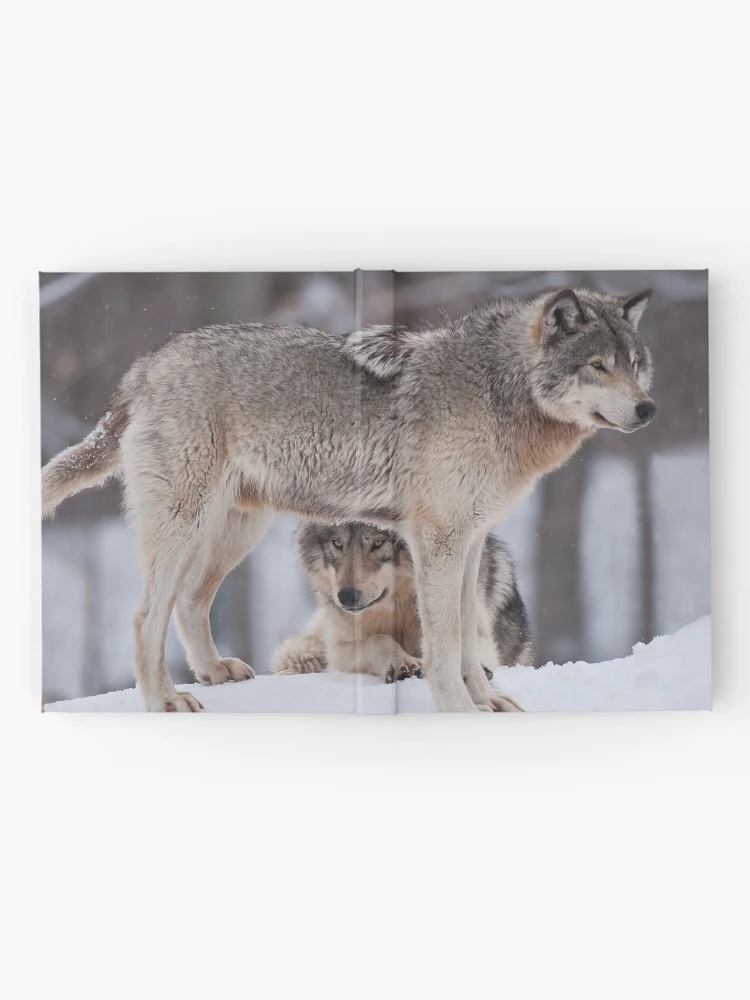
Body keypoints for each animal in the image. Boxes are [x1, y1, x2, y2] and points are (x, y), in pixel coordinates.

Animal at [270, 522, 531, 702]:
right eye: (337, 543)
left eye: (378, 543)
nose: (346, 596)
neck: (399, 606)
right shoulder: (339, 650)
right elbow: (379, 639)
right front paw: (402, 662)